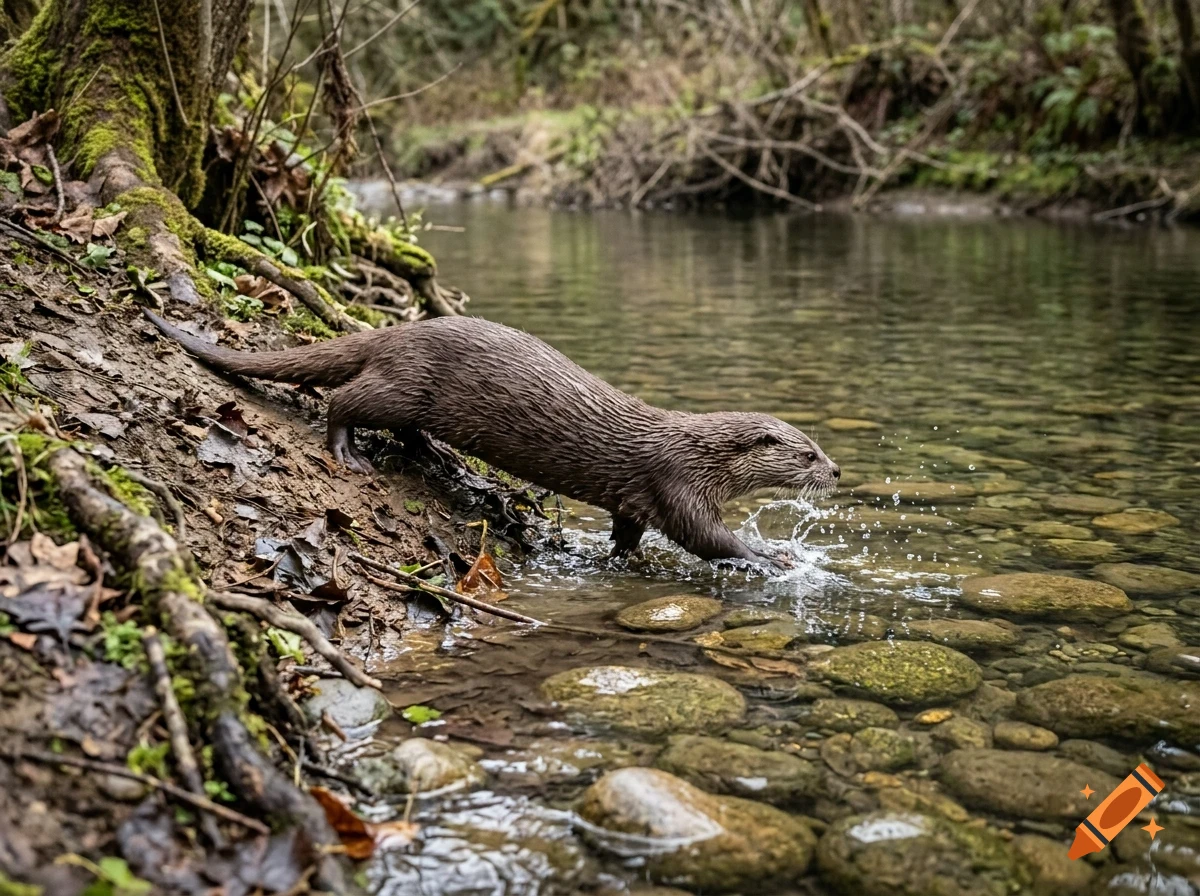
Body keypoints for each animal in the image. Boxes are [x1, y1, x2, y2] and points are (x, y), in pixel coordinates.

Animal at [143, 309, 840, 564]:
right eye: (807, 452)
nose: (836, 471)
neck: (697, 451)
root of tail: (396, 330)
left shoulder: (637, 499)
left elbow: (628, 531)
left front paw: (619, 559)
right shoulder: (677, 483)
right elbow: (705, 538)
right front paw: (769, 557)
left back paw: (432, 454)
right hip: (404, 382)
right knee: (345, 400)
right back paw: (346, 450)